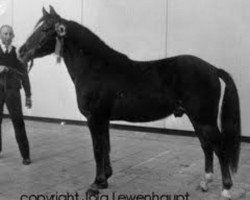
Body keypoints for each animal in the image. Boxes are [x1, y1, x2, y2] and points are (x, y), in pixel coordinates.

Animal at [18, 5, 240, 198]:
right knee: (207, 147)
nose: (21, 51)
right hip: (198, 120)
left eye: (45, 29)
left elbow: (97, 150)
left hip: (205, 120)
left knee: (220, 148)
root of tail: (213, 69)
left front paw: (95, 184)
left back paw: (226, 189)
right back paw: (205, 182)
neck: (96, 68)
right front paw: (104, 180)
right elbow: (106, 147)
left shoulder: (94, 119)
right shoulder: (103, 120)